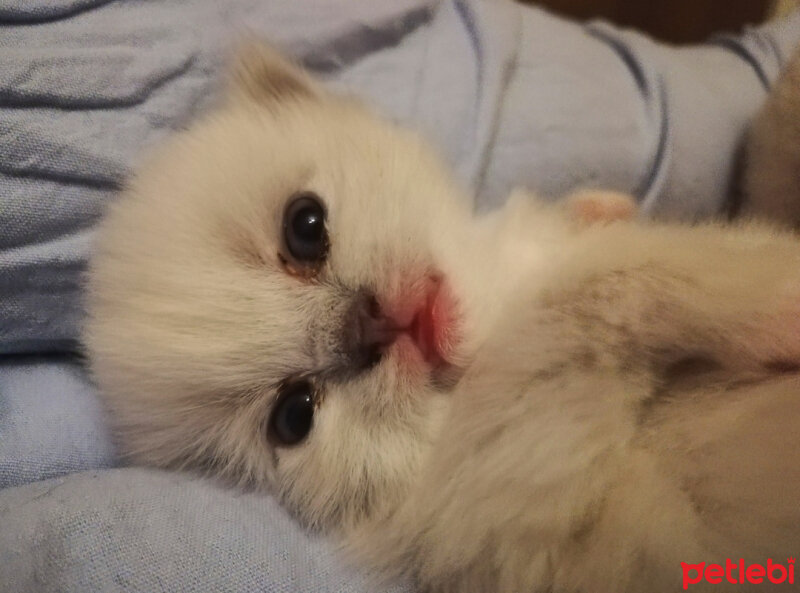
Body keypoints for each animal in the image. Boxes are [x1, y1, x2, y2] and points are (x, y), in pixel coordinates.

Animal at [87, 44, 800, 588]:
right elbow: (624, 282)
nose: (367, 327)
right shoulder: (535, 461)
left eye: (305, 227)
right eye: (294, 415)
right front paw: (781, 303)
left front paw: (595, 212)